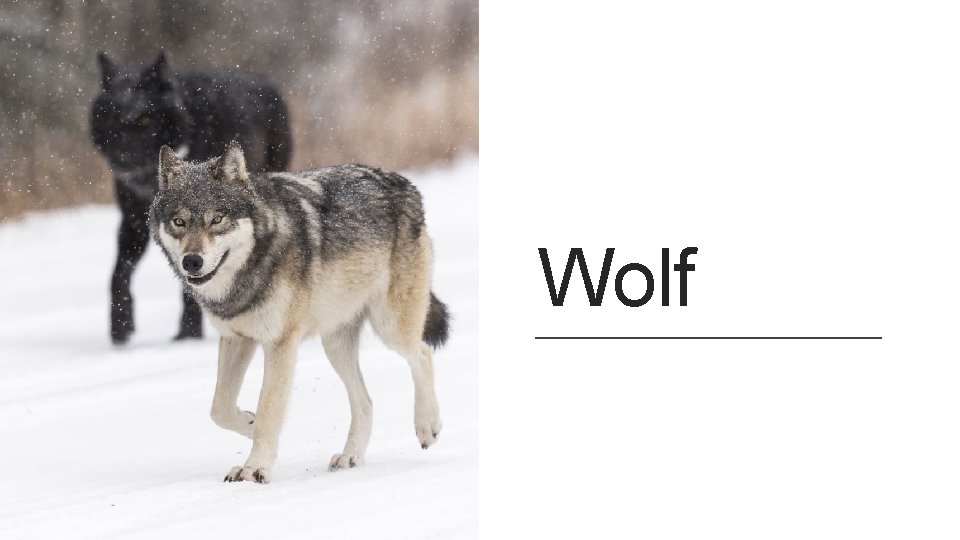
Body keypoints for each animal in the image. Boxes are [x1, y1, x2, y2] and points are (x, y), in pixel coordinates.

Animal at [91, 52, 291, 344]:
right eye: (111, 120)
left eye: (145, 120)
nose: (121, 157)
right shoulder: (134, 219)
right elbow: (119, 273)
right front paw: (120, 328)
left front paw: (188, 334)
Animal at [148, 142, 449, 483]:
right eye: (179, 222)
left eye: (217, 219)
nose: (192, 261)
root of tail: (400, 181)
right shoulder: (237, 339)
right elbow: (219, 408)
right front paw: (249, 424)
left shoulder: (280, 343)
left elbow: (269, 408)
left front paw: (254, 469)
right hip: (335, 345)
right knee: (366, 401)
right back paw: (350, 456)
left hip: (391, 327)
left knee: (422, 354)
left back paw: (427, 426)